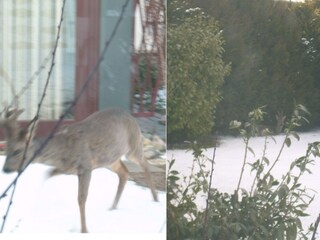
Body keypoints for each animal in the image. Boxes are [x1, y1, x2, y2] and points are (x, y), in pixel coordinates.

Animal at [0, 108, 159, 232]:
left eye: (17, 151)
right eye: (6, 149)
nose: (6, 169)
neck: (63, 151)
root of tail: (131, 116)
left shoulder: (86, 166)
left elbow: (81, 199)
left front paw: (84, 230)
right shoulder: (66, 169)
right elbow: (47, 174)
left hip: (133, 146)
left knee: (145, 164)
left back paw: (155, 198)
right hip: (110, 159)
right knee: (124, 172)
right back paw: (113, 207)